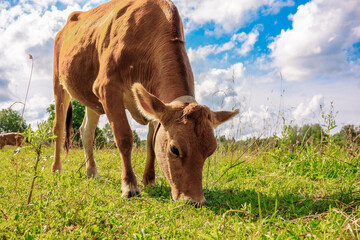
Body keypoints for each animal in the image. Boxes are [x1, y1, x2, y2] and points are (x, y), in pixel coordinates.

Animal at [52, 0, 239, 204]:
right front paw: (129, 186)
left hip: (90, 98)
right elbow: (124, 137)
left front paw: (149, 181)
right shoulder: (107, 87)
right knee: (58, 129)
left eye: (210, 151)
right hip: (59, 84)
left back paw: (92, 172)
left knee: (86, 132)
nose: (195, 201)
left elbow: (151, 143)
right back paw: (56, 169)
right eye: (174, 149)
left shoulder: (152, 101)